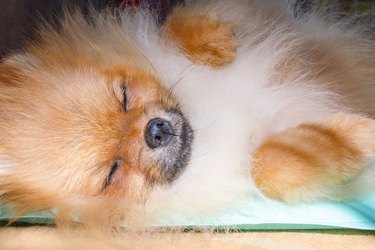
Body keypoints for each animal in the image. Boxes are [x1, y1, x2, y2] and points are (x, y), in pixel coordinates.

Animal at [0, 0, 374, 227]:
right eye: (111, 172)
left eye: (124, 94)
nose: (155, 131)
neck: (203, 120)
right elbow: (268, 166)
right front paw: (356, 138)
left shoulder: (260, 16)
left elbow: (174, 20)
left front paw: (212, 42)